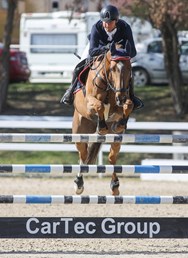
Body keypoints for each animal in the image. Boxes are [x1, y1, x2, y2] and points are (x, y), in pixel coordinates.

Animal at [71, 44, 134, 196]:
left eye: (130, 68)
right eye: (113, 68)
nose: (121, 97)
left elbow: (129, 105)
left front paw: (121, 123)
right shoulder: (89, 103)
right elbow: (99, 105)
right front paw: (102, 126)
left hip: (117, 138)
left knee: (112, 157)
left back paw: (115, 185)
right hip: (79, 132)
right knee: (83, 156)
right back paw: (78, 184)